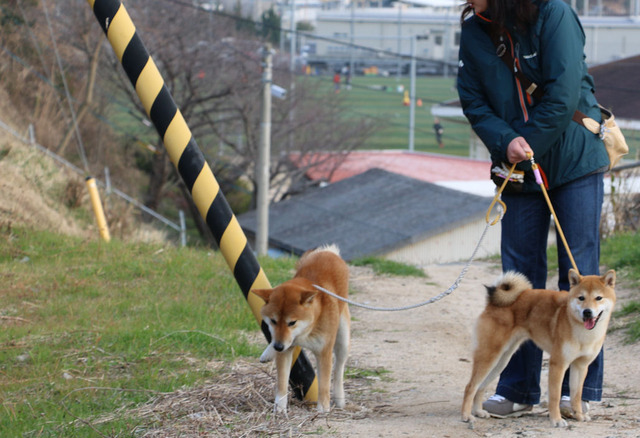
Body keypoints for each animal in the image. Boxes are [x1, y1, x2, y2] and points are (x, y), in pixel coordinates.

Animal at [251, 246, 350, 414]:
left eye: (292, 322)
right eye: (273, 321)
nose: (278, 346)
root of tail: (328, 252)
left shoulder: (324, 351)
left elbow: (324, 384)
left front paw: (323, 409)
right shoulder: (285, 348)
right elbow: (282, 383)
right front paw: (279, 408)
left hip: (342, 339)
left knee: (338, 370)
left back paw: (339, 398)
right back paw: (269, 352)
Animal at [462, 268, 616, 426]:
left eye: (598, 298)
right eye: (581, 298)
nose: (587, 312)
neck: (582, 333)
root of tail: (494, 303)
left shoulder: (580, 366)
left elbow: (576, 395)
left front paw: (579, 415)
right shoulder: (558, 364)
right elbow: (555, 396)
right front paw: (556, 419)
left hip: (501, 361)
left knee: (481, 387)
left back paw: (478, 411)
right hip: (490, 356)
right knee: (470, 387)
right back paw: (466, 415)